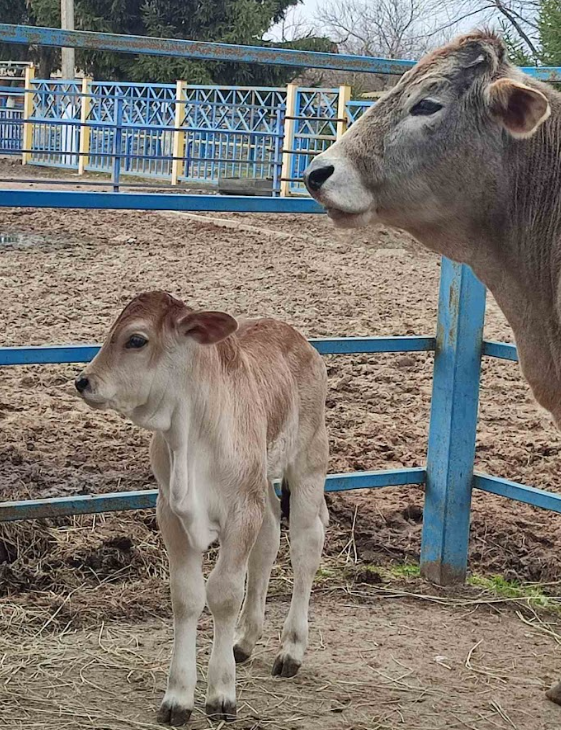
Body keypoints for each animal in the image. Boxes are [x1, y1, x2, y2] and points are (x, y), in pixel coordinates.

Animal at [74, 290, 328, 724]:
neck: (188, 436)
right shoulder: (171, 515)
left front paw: (221, 693)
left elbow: (224, 593)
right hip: (262, 485)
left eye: (136, 339)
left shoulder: (240, 512)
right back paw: (245, 640)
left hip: (308, 464)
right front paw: (178, 696)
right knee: (268, 543)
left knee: (305, 547)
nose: (83, 381)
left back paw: (291, 649)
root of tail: (296, 338)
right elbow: (186, 597)